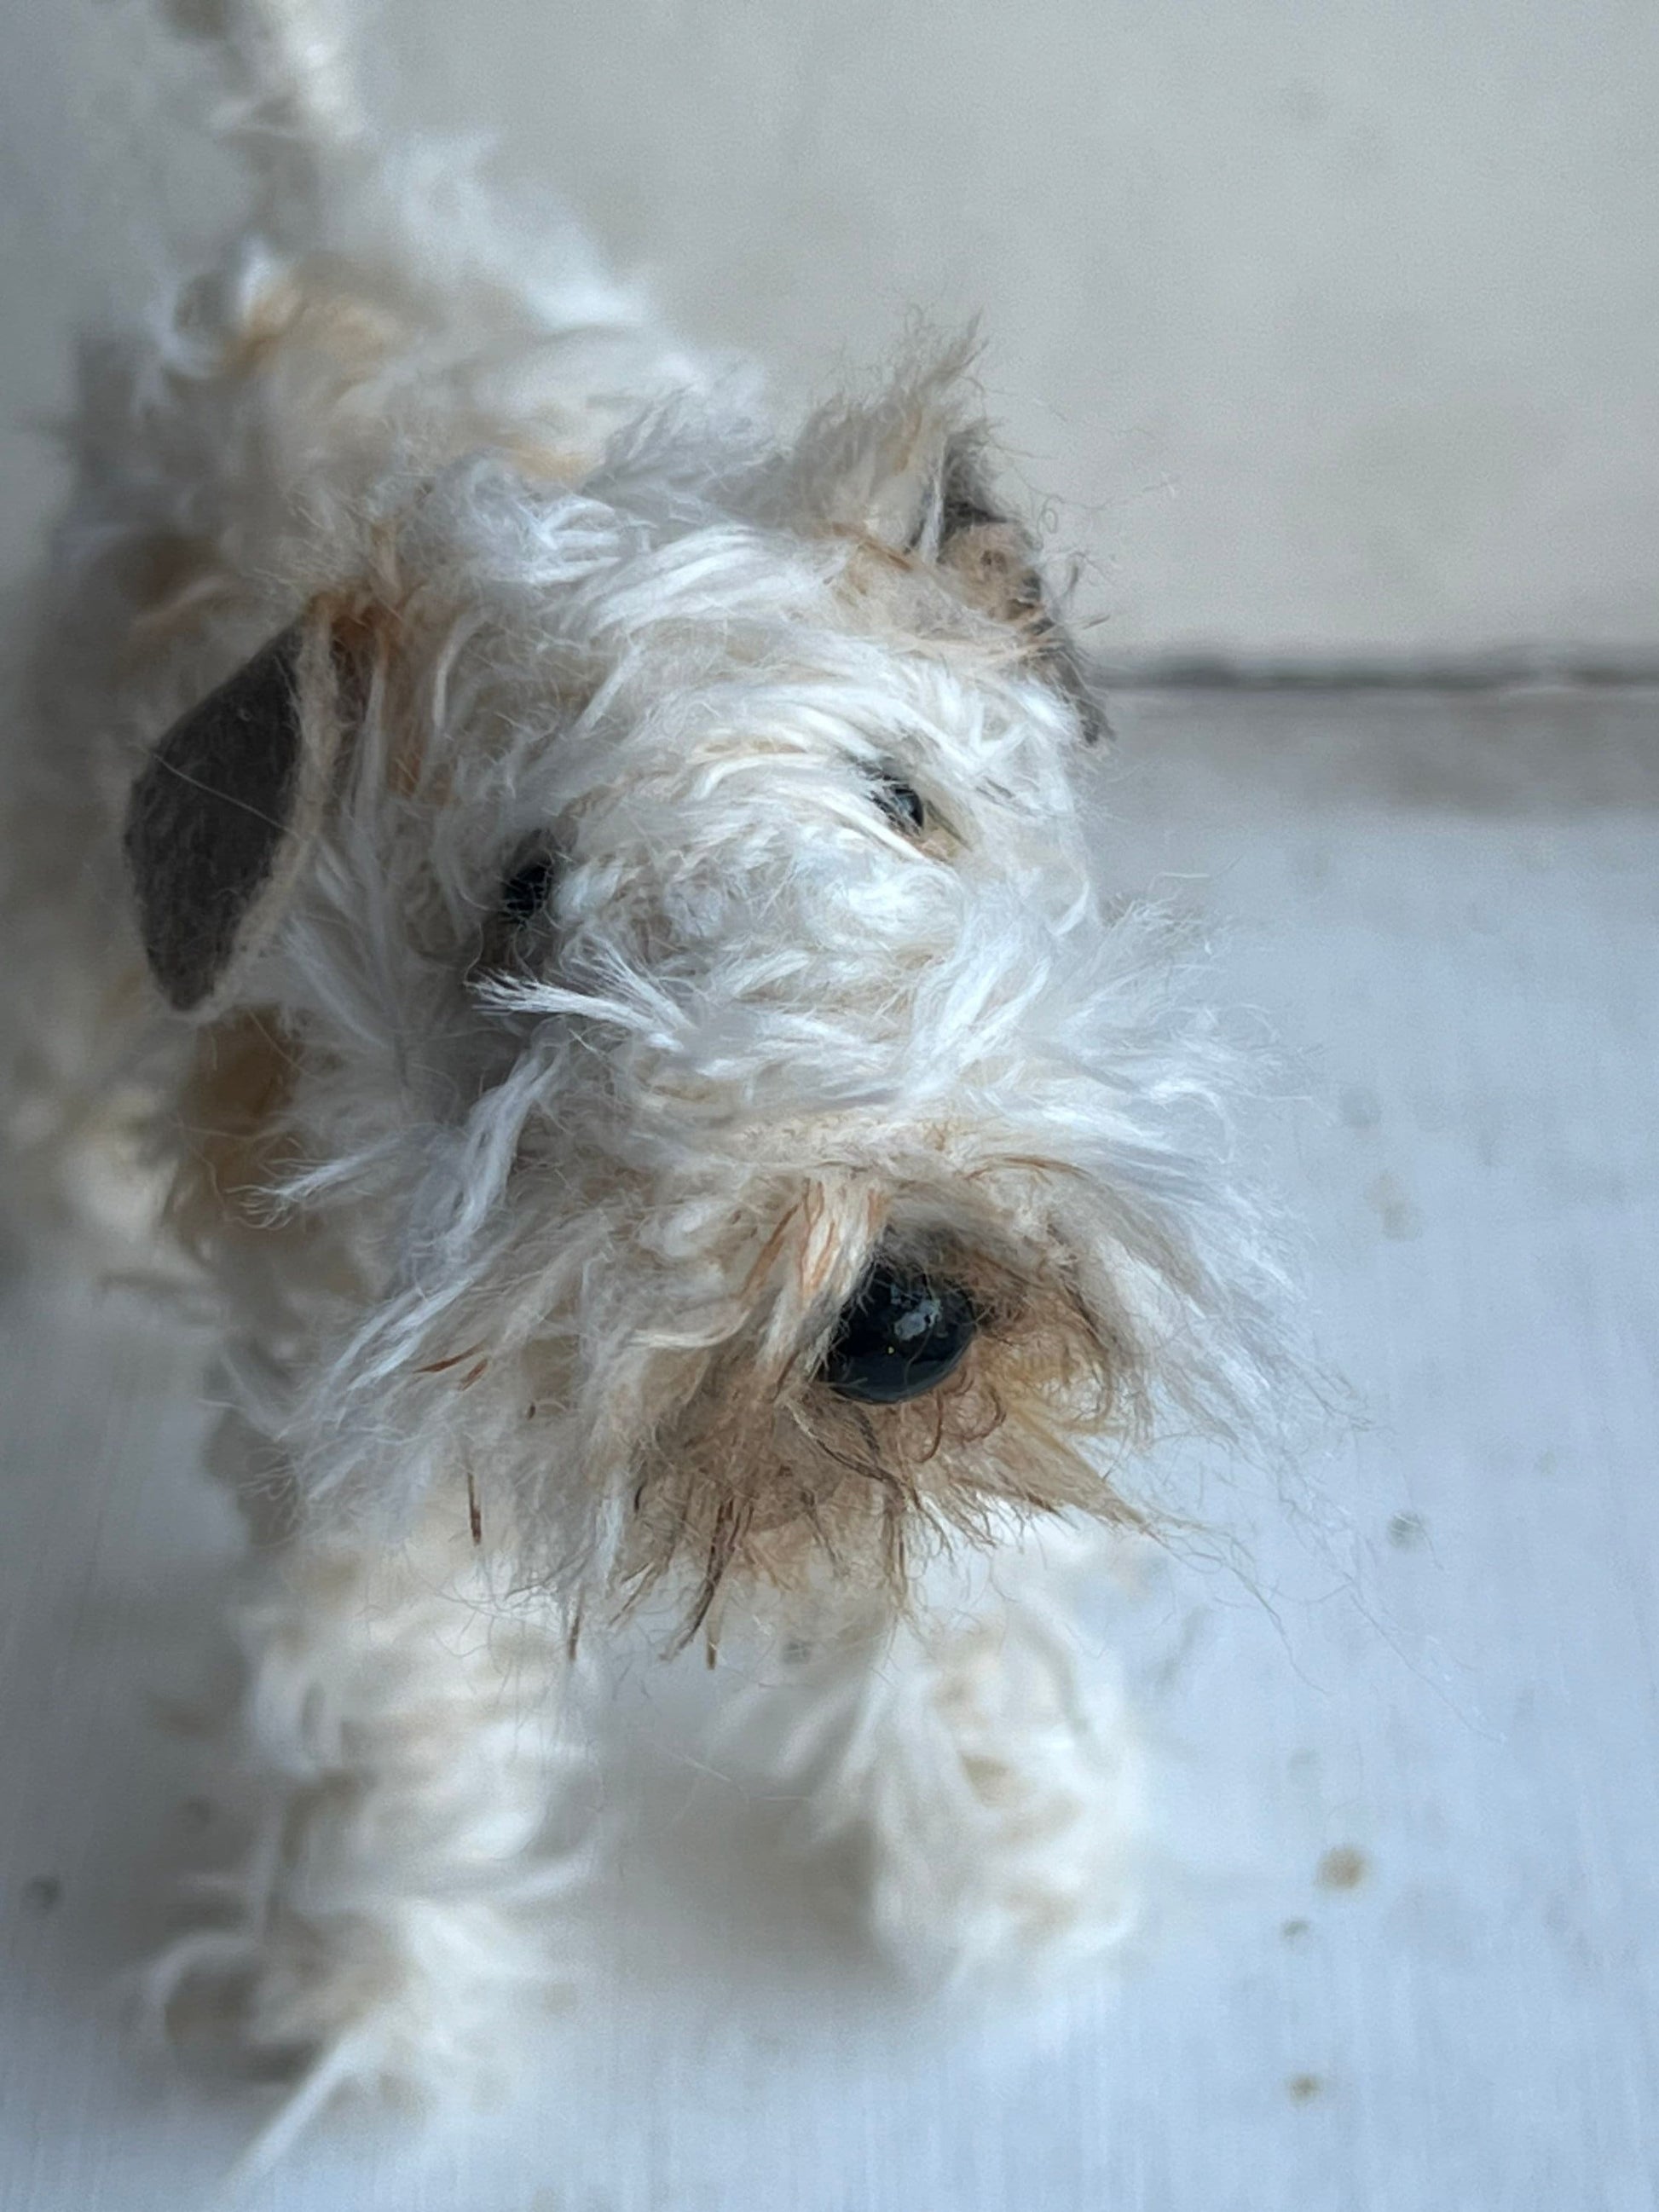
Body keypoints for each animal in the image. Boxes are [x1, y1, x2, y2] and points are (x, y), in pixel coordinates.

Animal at [3, 0, 1282, 2158]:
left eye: (904, 798)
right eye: (524, 897)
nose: (901, 1304)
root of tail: (326, 185)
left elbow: (964, 1606)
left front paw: (1023, 1861)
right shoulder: (372, 1474)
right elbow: (392, 1734)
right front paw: (374, 2019)